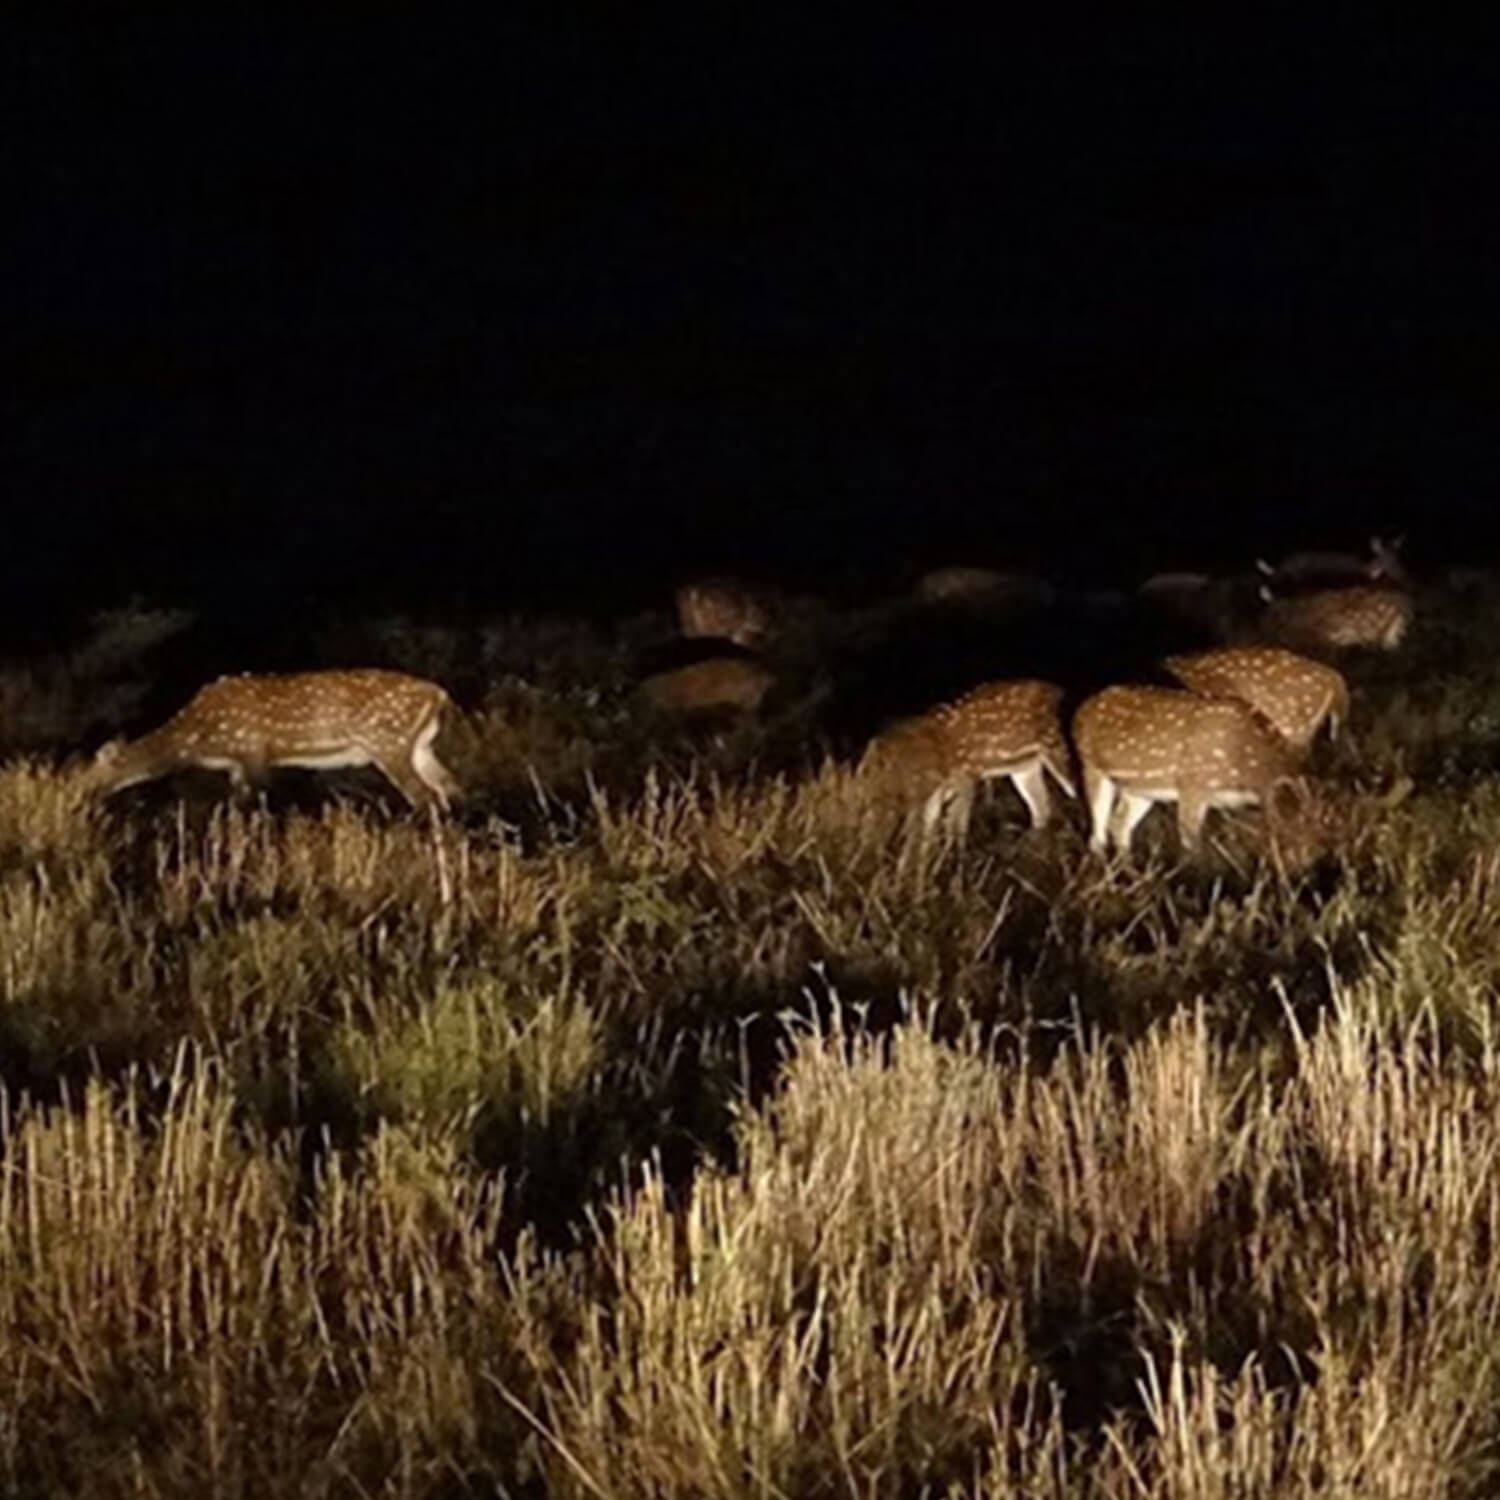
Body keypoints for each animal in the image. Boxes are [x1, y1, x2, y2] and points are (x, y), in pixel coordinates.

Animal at [88, 666, 462, 810]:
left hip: (388, 741)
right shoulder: (235, 764)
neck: (196, 741)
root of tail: (440, 695)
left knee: (423, 795)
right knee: (449, 786)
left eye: (89, 773)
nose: (83, 799)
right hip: (420, 746)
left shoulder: (252, 750)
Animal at [858, 681, 1080, 846]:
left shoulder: (966, 776)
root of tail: (1058, 691)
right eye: (864, 774)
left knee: (1072, 789)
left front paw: (954, 858)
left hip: (1055, 745)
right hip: (1024, 766)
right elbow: (933, 825)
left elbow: (957, 825)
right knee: (1040, 806)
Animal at [1254, 534, 1404, 591]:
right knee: (1271, 578)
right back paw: (1266, 595)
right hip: (1291, 571)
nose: (1401, 575)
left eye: (1396, 558)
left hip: (1292, 573)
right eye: (1385, 559)